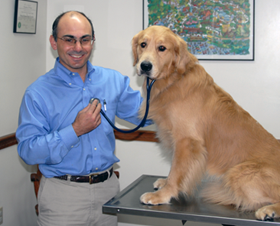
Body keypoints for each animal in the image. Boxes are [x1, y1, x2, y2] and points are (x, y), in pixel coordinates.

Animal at [132, 25, 280, 221]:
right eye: (143, 44)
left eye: (162, 48)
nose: (145, 66)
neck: (173, 80)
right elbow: (174, 168)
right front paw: (165, 183)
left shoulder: (187, 141)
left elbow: (177, 171)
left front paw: (163, 194)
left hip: (239, 173)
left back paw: (269, 210)